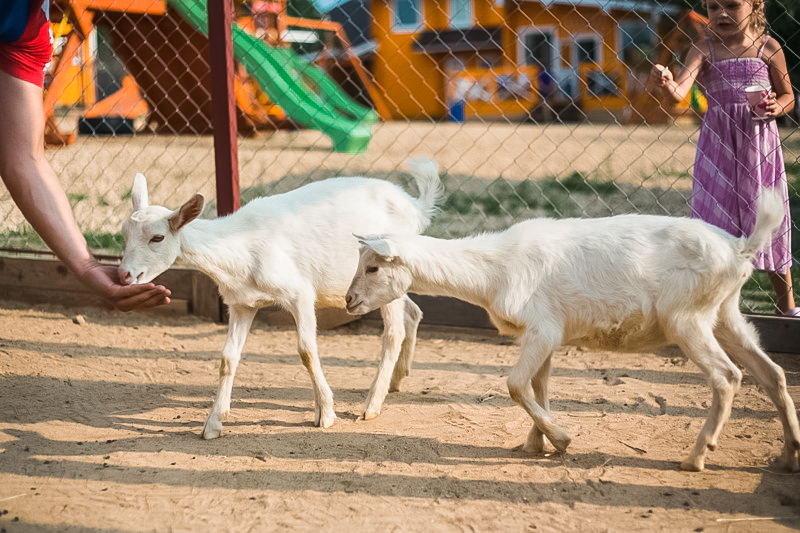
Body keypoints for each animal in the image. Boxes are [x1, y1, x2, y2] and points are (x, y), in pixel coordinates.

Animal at [119, 159, 444, 440]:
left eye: (158, 237)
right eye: (124, 234)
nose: (124, 274)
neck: (241, 248)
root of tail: (416, 208)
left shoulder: (300, 293)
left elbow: (306, 351)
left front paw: (326, 414)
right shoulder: (242, 304)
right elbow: (228, 358)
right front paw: (213, 423)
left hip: (382, 274)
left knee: (394, 332)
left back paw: (371, 405)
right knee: (413, 312)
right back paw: (397, 380)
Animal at [346, 189, 800, 472]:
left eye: (373, 268)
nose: (348, 301)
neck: (494, 268)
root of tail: (740, 248)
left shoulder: (542, 329)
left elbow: (515, 385)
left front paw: (561, 439)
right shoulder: (546, 334)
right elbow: (538, 386)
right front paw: (536, 443)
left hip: (687, 317)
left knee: (727, 376)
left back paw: (696, 457)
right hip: (725, 314)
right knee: (772, 374)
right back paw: (788, 457)